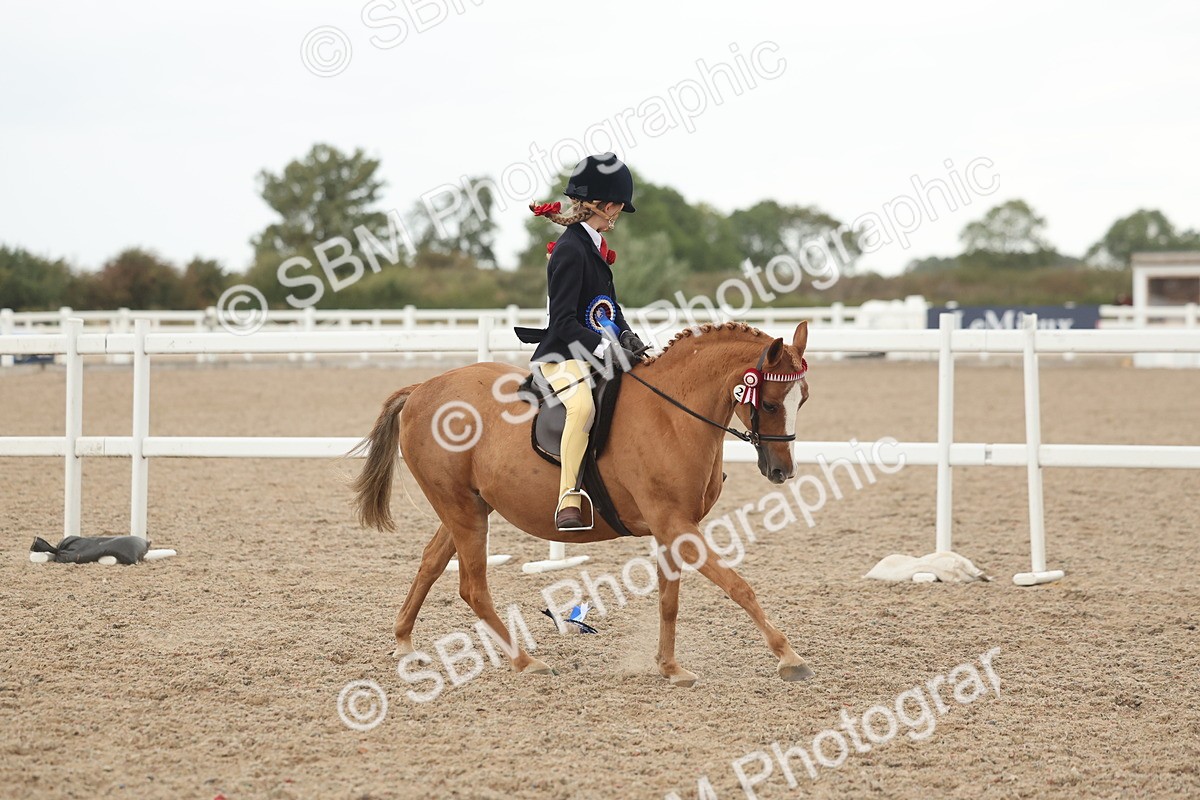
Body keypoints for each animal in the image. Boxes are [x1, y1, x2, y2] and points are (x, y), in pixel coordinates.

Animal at [352, 320, 812, 686]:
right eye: (770, 403)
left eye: (802, 400)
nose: (781, 471)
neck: (671, 414)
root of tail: (421, 389)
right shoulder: (675, 522)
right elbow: (738, 586)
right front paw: (789, 657)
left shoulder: (671, 526)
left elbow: (669, 601)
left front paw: (669, 667)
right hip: (463, 511)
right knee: (473, 588)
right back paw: (526, 661)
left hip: (469, 507)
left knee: (431, 562)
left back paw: (404, 641)